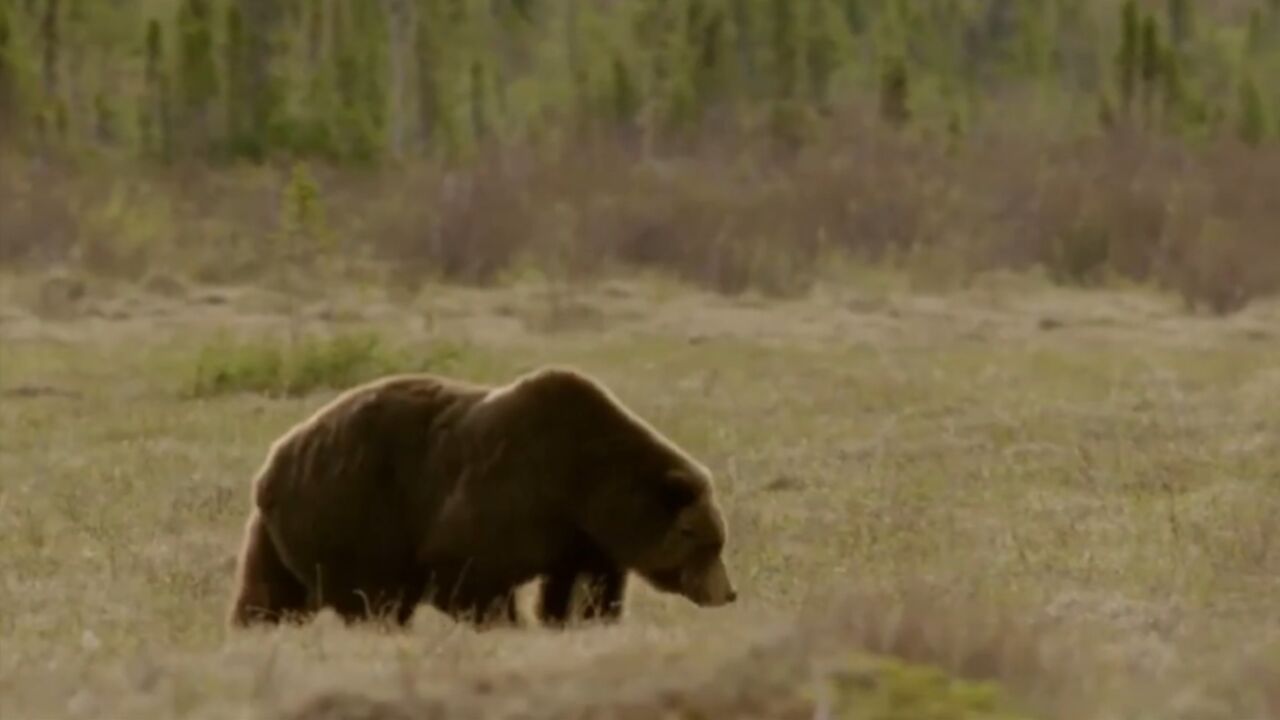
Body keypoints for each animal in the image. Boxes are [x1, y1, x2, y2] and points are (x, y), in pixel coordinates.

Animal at [225, 361, 737, 625]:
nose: (728, 593)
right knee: (373, 597)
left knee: (269, 596)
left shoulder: (581, 539)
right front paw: (504, 623)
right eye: (707, 543)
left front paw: (579, 620)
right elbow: (467, 570)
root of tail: (272, 465)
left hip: (280, 532)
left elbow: (583, 591)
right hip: (352, 511)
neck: (588, 488)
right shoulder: (512, 492)